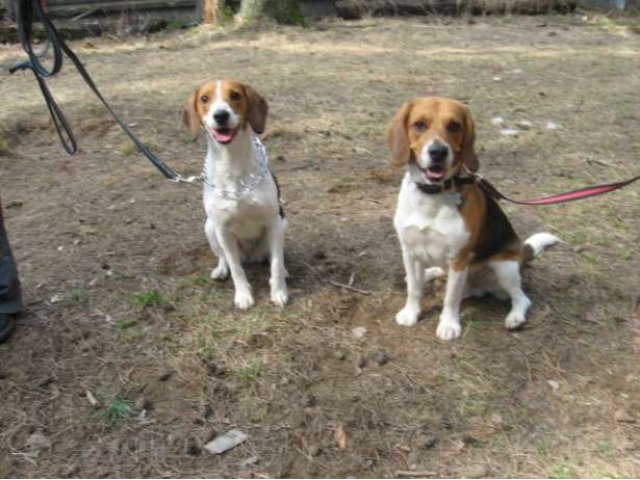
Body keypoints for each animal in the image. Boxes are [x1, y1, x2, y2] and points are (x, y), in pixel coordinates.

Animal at [182, 80, 288, 310]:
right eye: (204, 98)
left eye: (236, 95)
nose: (220, 115)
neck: (232, 163)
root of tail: (250, 256)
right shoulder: (222, 229)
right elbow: (236, 269)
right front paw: (243, 295)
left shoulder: (273, 222)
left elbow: (275, 264)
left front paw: (279, 291)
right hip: (210, 228)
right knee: (225, 258)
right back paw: (221, 270)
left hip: (282, 224)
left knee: (273, 256)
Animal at [384, 96, 560, 342]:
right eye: (419, 125)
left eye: (454, 126)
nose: (438, 152)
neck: (432, 195)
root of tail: (520, 252)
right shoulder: (409, 251)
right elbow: (415, 290)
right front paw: (410, 313)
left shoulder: (459, 259)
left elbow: (451, 298)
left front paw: (448, 325)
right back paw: (428, 274)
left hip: (503, 267)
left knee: (520, 297)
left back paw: (515, 317)